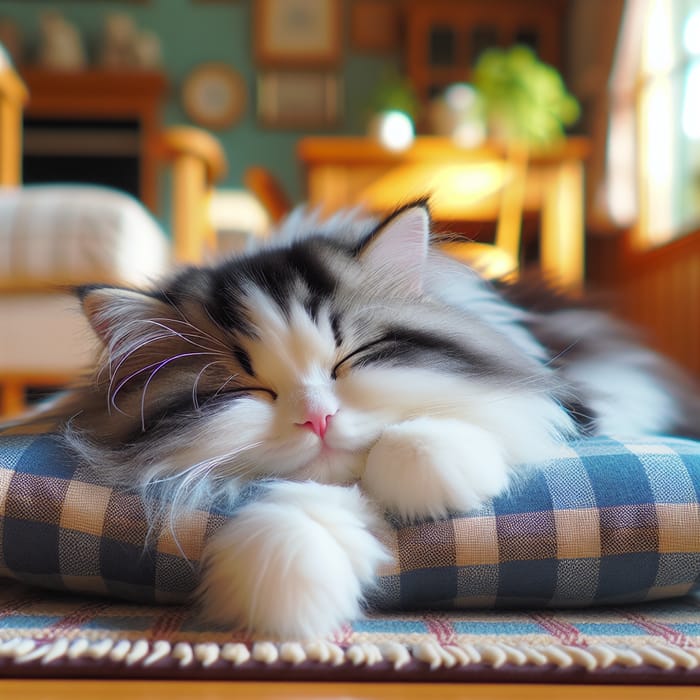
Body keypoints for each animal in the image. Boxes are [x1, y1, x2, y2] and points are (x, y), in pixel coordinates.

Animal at [12, 201, 700, 640]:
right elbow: (308, 499)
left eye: (350, 360)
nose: (317, 417)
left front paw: (431, 476)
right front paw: (288, 579)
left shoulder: (564, 400)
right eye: (250, 390)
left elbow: (469, 422)